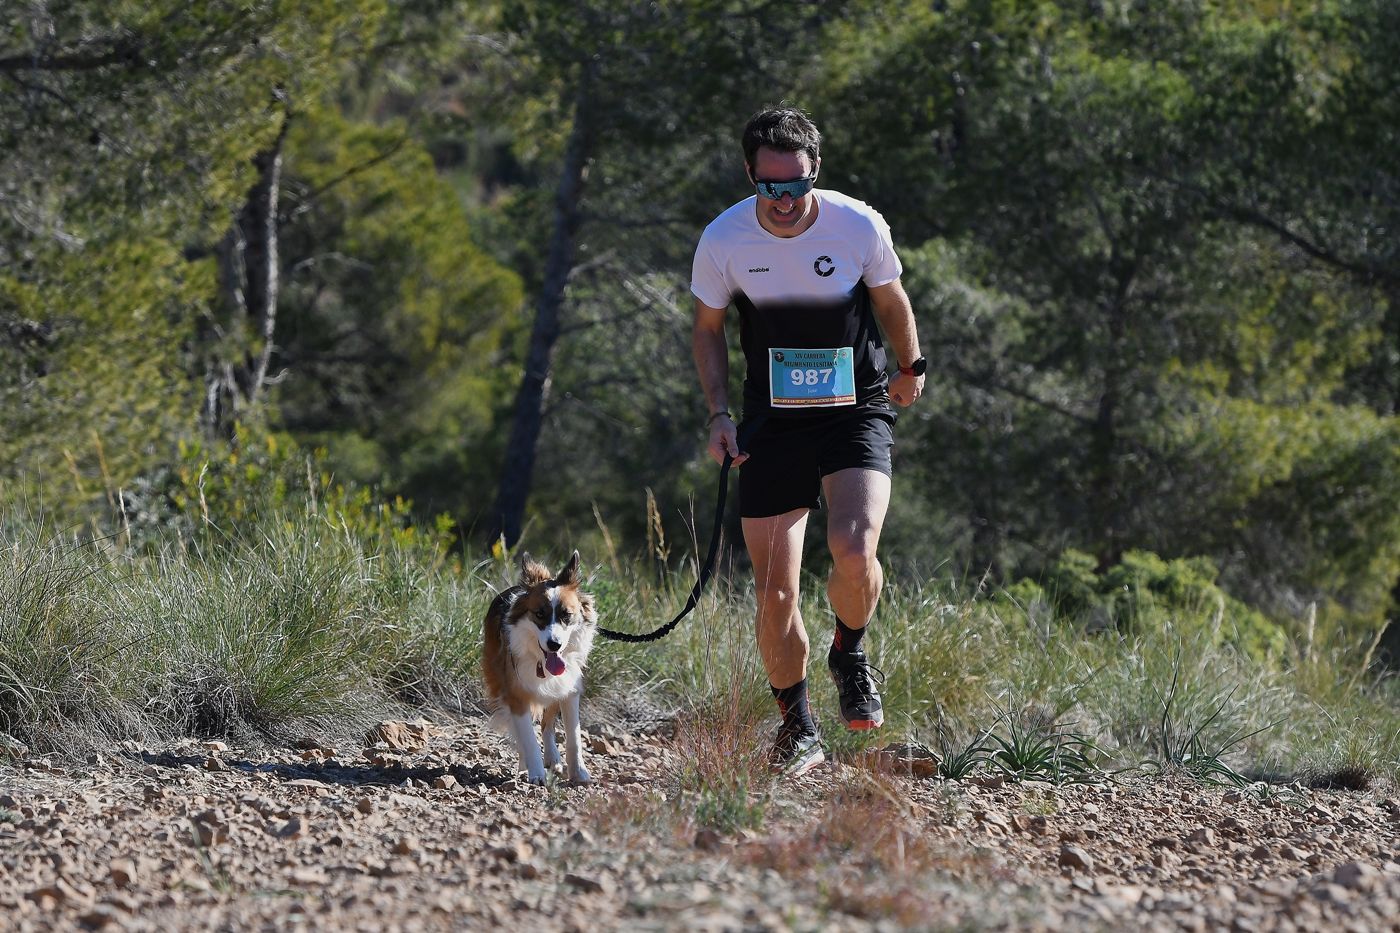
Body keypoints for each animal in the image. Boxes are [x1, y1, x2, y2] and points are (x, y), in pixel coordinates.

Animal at [481, 549, 596, 778]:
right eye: (539, 614)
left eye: (566, 615)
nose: (554, 644)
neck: (540, 662)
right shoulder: (515, 693)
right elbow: (527, 735)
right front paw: (536, 772)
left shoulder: (568, 688)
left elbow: (574, 736)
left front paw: (579, 772)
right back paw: (525, 762)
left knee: (547, 724)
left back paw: (552, 757)